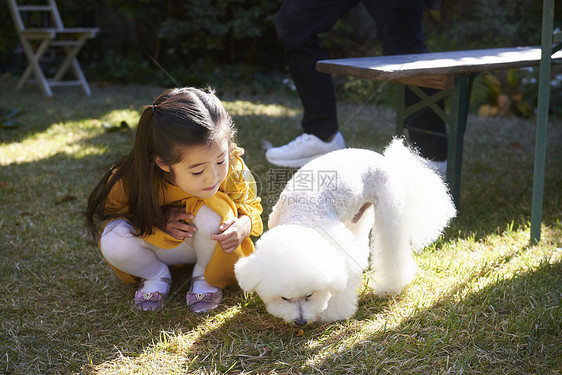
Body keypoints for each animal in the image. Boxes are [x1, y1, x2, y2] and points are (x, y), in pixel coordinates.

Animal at [234, 140, 452, 324]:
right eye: (285, 298)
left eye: (310, 295)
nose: (300, 322)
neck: (300, 216)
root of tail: (386, 159)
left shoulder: (337, 248)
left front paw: (333, 314)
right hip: (356, 216)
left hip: (389, 207)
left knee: (392, 248)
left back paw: (391, 285)